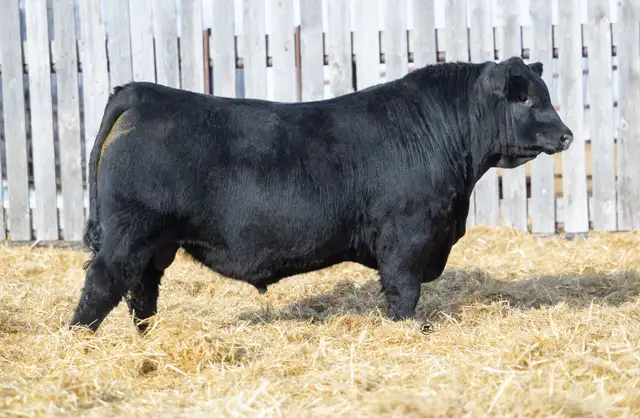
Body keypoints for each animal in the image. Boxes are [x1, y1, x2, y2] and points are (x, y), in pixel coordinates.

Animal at [69, 56, 573, 333]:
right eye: (526, 99)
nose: (567, 135)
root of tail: (141, 92)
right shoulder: (408, 236)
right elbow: (403, 292)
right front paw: (409, 331)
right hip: (129, 234)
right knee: (103, 283)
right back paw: (78, 341)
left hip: (156, 244)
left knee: (142, 292)